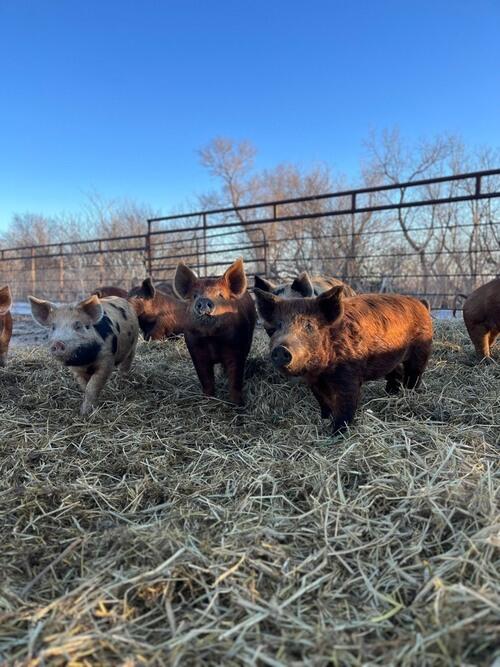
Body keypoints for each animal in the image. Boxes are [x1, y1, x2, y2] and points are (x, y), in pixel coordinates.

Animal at [173, 258, 256, 405]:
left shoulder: (237, 348)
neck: (211, 338)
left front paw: (237, 404)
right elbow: (205, 378)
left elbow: (236, 377)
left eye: (221, 295)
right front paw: (207, 400)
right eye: (195, 296)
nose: (203, 301)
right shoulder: (195, 349)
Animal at [254, 287, 433, 433]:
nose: (281, 349)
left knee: (414, 374)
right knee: (396, 372)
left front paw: (337, 433)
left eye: (309, 325)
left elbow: (345, 405)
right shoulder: (314, 382)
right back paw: (390, 393)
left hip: (421, 350)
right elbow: (324, 402)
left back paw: (409, 394)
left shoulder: (349, 375)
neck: (322, 371)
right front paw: (324, 420)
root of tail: (421, 303)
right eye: (276, 327)